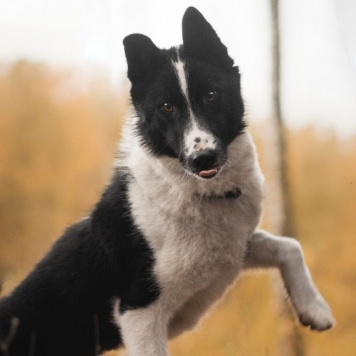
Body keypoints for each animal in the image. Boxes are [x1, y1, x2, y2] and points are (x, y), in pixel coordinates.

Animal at [0, 6, 334, 356]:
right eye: (167, 107)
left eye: (212, 95)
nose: (204, 158)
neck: (197, 194)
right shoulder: (140, 313)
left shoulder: (233, 250)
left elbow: (288, 245)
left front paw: (314, 308)